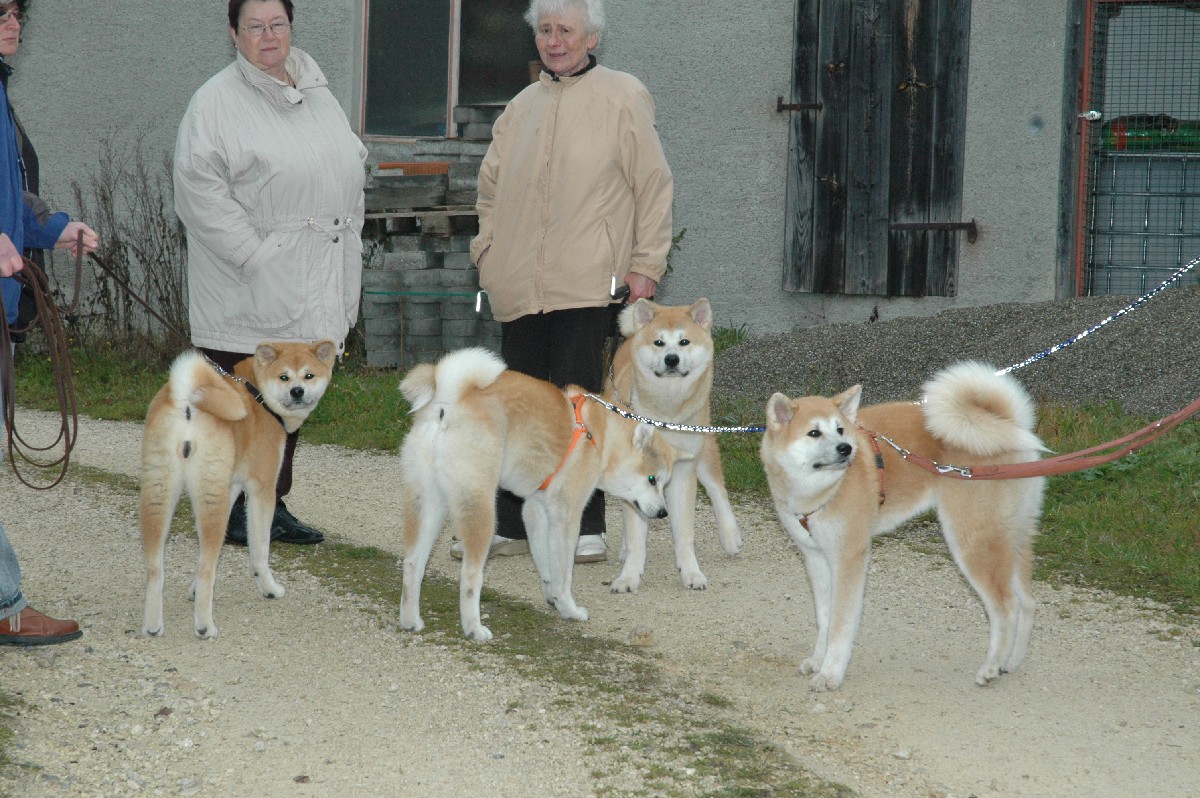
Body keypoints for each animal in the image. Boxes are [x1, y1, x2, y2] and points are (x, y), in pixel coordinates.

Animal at [140, 340, 336, 639]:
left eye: (308, 375)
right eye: (284, 377)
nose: (297, 391)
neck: (258, 395)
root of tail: (187, 404)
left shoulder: (231, 487)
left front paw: (193, 590)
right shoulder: (261, 489)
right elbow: (259, 550)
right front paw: (269, 588)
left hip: (160, 493)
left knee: (155, 568)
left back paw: (152, 625)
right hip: (210, 499)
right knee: (207, 567)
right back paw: (204, 626)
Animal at [397, 347, 677, 641]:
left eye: (663, 483)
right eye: (652, 480)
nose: (663, 512)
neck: (600, 438)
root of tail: (447, 401)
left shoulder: (534, 511)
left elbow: (546, 566)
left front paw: (552, 599)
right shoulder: (567, 516)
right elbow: (563, 573)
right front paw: (569, 608)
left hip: (428, 505)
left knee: (413, 563)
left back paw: (410, 620)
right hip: (480, 509)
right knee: (470, 576)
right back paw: (474, 628)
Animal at [604, 298, 742, 593]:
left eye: (684, 341)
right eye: (659, 342)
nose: (671, 359)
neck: (665, 412)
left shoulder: (683, 471)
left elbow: (685, 534)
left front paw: (691, 572)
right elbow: (636, 537)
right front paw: (629, 576)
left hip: (704, 444)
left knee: (717, 488)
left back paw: (730, 535)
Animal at [759, 361, 1046, 690]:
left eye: (840, 429)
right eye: (814, 433)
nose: (846, 448)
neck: (820, 490)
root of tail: (1009, 426)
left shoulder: (849, 558)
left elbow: (841, 625)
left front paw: (831, 674)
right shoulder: (816, 557)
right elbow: (824, 618)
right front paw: (819, 660)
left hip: (972, 542)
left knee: (1006, 608)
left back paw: (991, 667)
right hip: (1011, 540)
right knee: (1027, 603)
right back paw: (1011, 662)